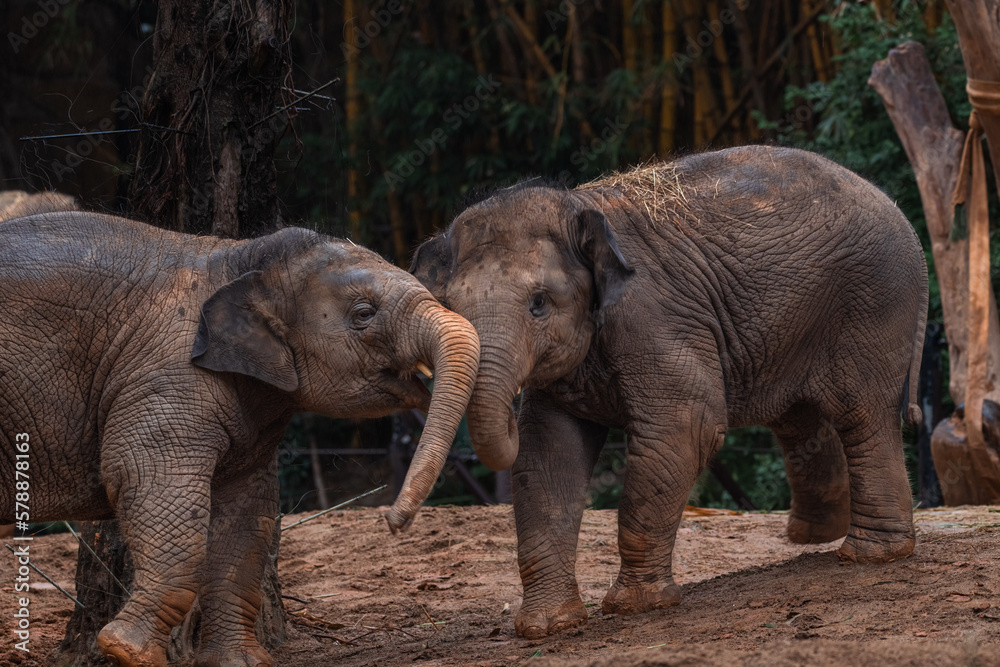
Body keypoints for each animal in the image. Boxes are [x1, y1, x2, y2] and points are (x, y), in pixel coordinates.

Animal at [0, 210, 479, 666]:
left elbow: (247, 516)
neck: (237, 257)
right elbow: (149, 482)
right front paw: (128, 653)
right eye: (364, 314)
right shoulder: (166, 377)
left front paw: (240, 662)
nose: (393, 522)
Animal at [412, 145, 927, 639]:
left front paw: (636, 606)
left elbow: (688, 423)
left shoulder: (652, 315)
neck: (579, 206)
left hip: (874, 299)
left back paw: (869, 554)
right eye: (451, 307)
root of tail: (900, 214)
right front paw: (547, 627)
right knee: (800, 417)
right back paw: (812, 537)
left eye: (539, 304)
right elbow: (549, 452)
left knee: (860, 413)